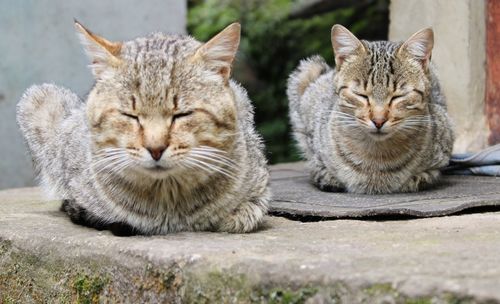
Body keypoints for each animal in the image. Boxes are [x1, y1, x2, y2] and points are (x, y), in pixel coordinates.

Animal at [288, 25, 456, 194]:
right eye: (361, 95)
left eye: (398, 96)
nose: (378, 120)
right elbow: (315, 160)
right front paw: (327, 176)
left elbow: (428, 174)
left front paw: (416, 179)